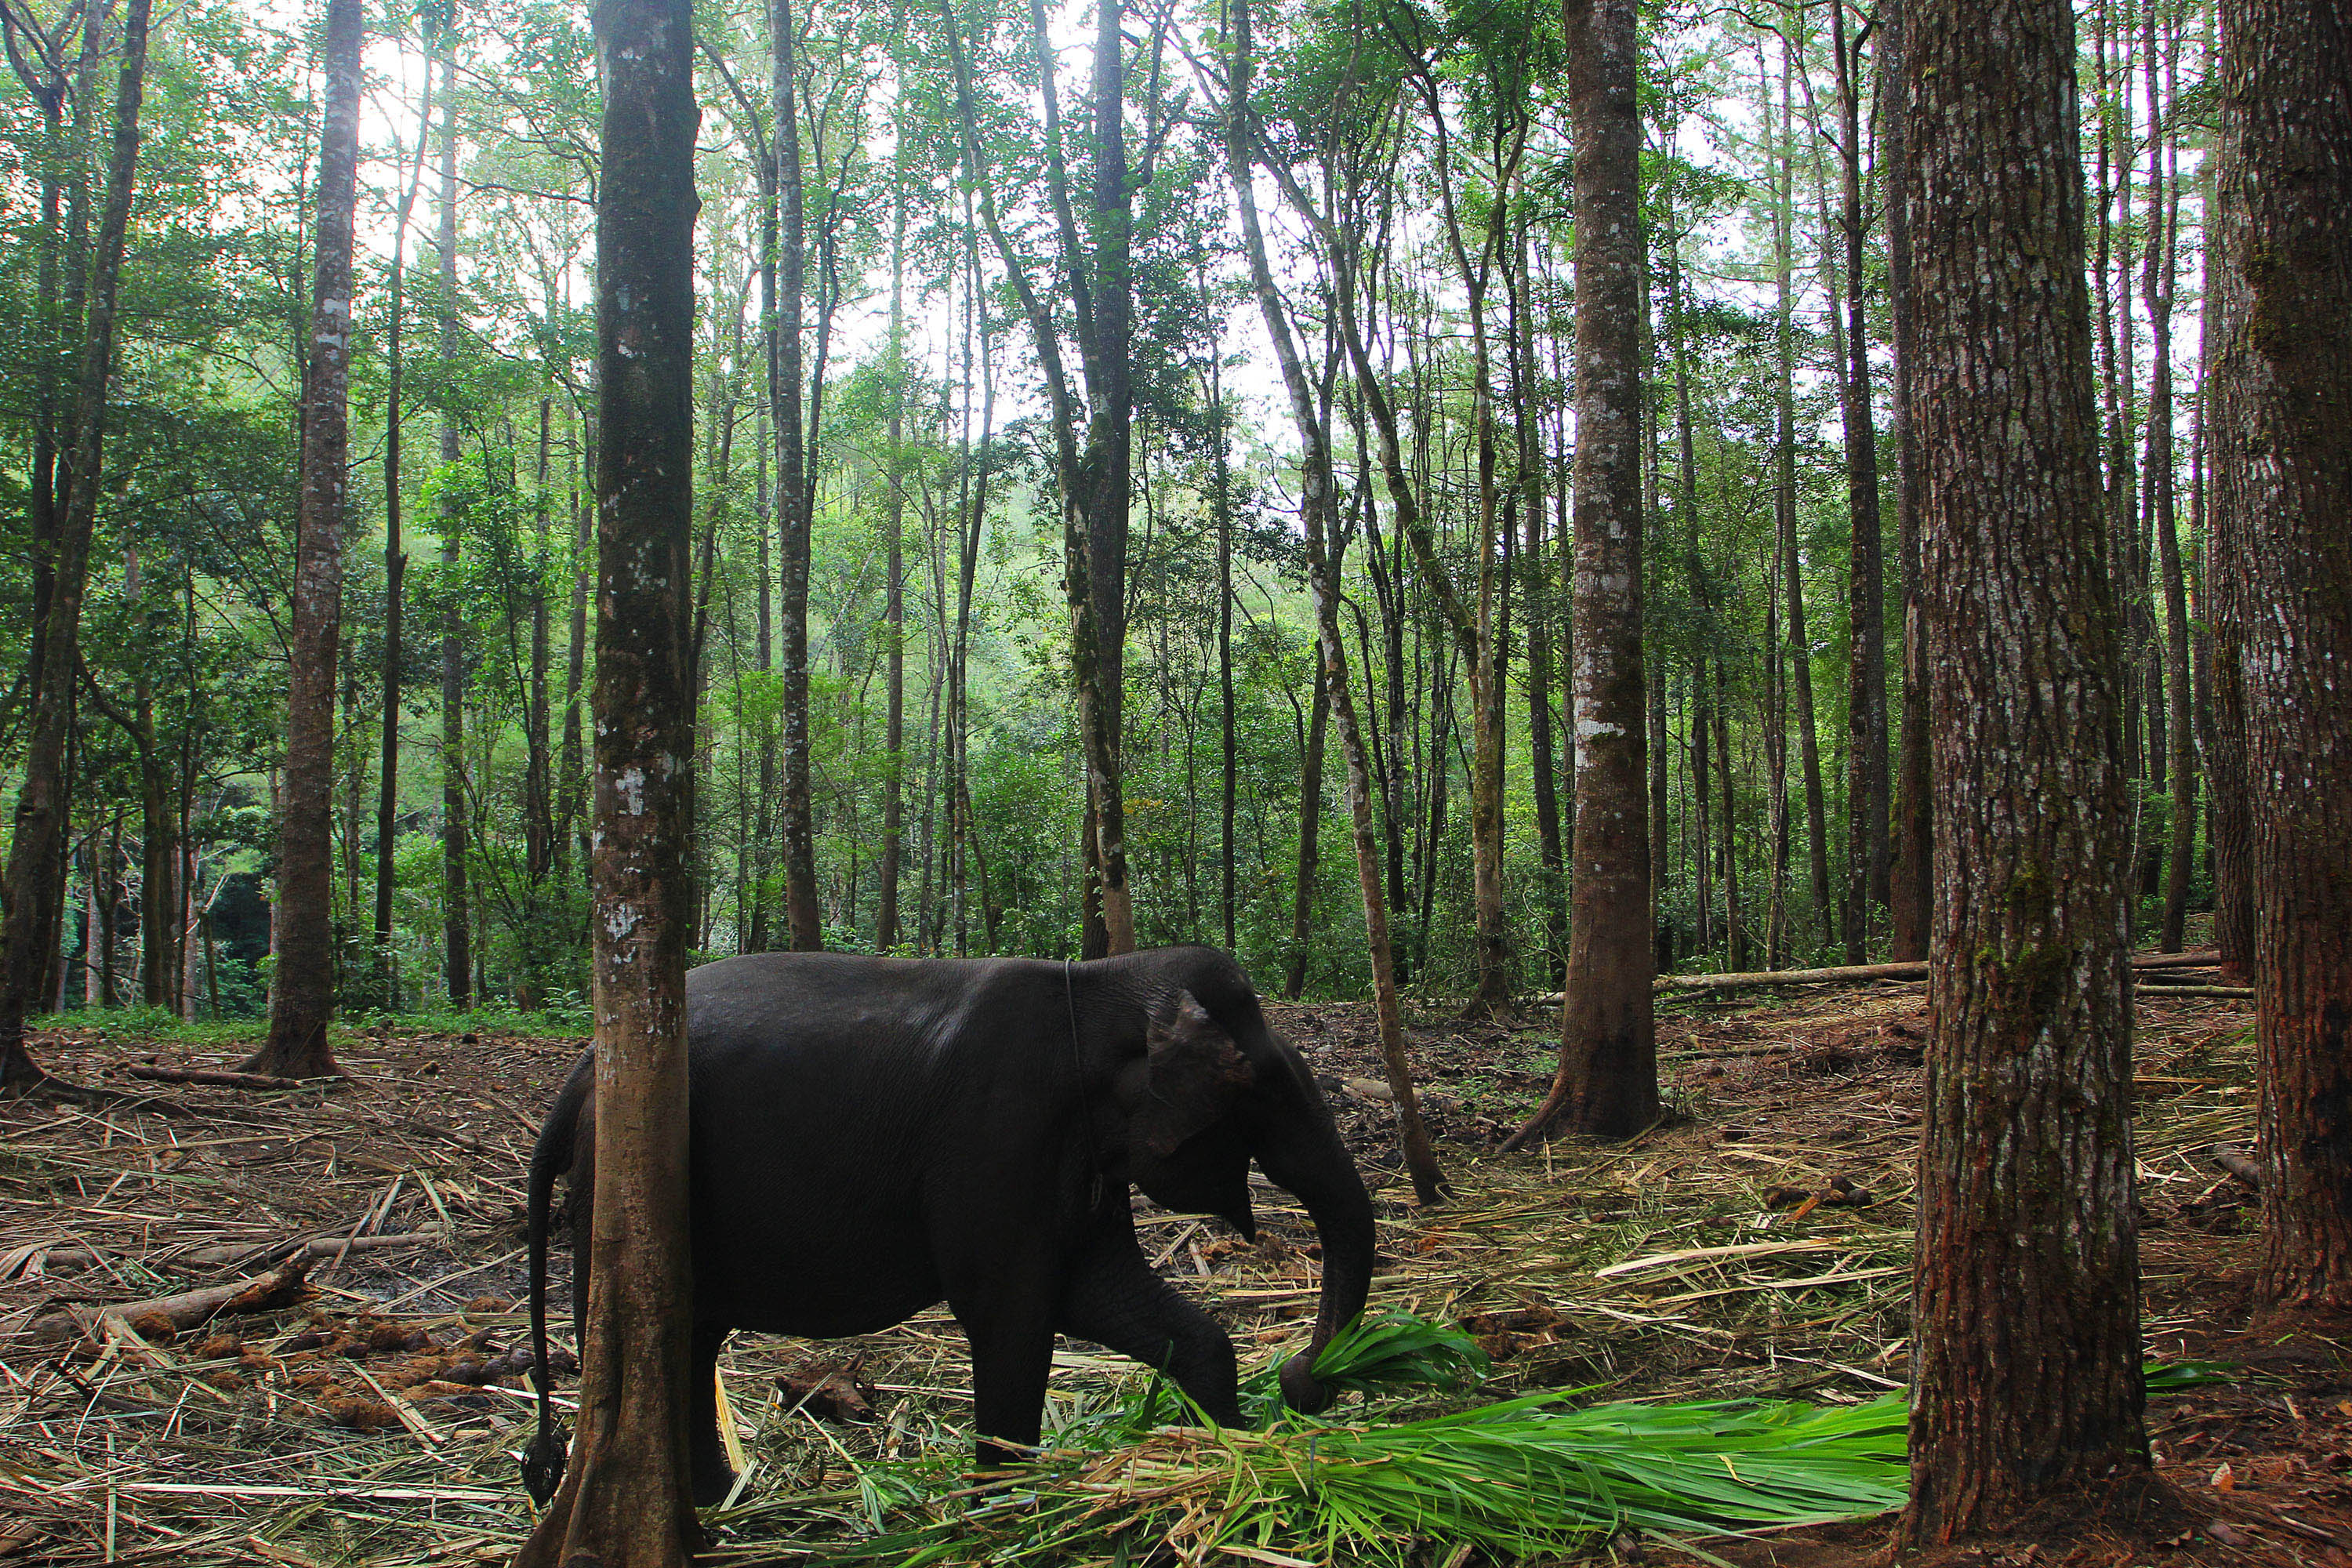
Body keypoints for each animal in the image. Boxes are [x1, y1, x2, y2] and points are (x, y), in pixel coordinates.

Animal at [520, 945, 1374, 1504]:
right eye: (1260, 1089)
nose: (1303, 1383)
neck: (1096, 982)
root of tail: (584, 1065)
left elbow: (1103, 1297)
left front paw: (1231, 1454)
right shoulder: (998, 1137)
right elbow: (1014, 1321)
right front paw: (998, 1516)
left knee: (693, 1337)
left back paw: (722, 1499)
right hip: (617, 1181)